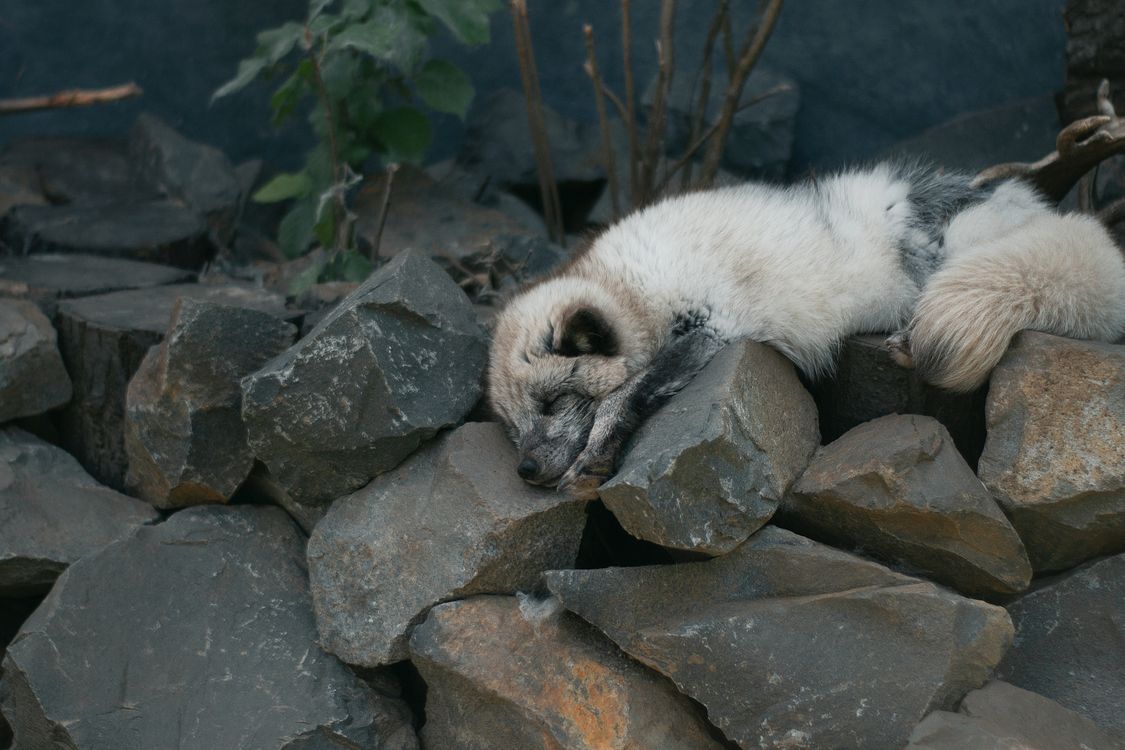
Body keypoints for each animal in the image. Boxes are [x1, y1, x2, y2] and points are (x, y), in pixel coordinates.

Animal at [487, 161, 1125, 498]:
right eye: (512, 427)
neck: (633, 285)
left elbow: (628, 393)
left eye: (552, 403)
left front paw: (595, 453)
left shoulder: (712, 326)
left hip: (959, 252)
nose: (524, 470)